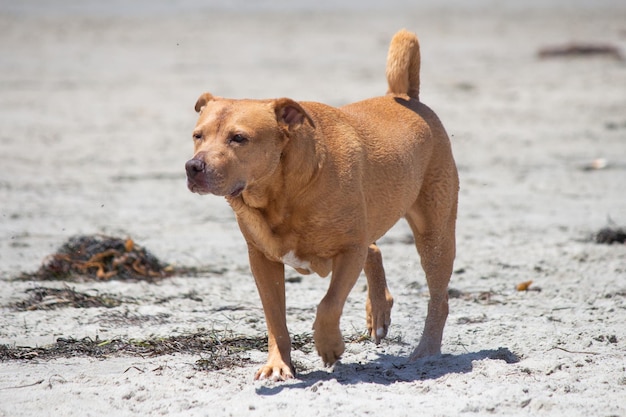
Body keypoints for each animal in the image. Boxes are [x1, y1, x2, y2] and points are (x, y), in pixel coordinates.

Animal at [183, 30, 456, 380]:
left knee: (438, 296)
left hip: (435, 233)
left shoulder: (349, 249)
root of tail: (404, 96)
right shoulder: (262, 260)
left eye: (239, 138)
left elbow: (328, 304)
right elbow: (275, 319)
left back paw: (426, 351)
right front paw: (278, 364)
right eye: (198, 136)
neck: (281, 193)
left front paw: (329, 346)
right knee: (374, 250)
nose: (193, 167)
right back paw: (379, 312)